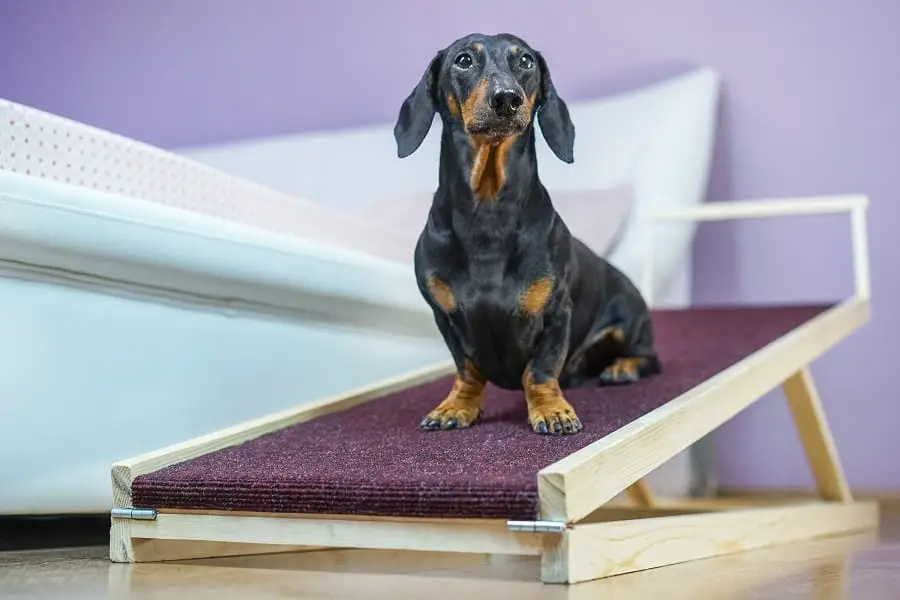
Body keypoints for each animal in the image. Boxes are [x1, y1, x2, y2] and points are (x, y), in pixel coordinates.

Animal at [394, 34, 660, 436]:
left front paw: (552, 410)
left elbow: (540, 370)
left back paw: (621, 368)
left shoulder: (556, 314)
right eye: (463, 60)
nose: (506, 98)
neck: (488, 212)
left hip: (629, 324)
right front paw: (457, 406)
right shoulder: (445, 317)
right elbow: (467, 369)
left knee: (648, 357)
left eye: (526, 62)